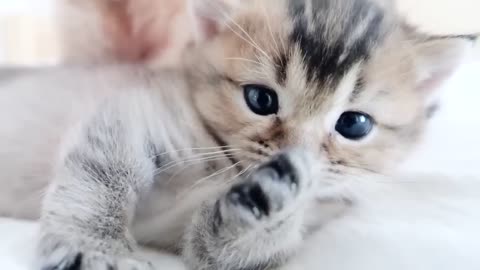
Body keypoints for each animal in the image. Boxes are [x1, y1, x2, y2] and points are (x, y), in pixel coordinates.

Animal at [0, 0, 474, 270]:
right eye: (260, 99)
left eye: (354, 125)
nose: (293, 154)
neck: (226, 164)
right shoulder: (132, 111)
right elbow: (103, 176)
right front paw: (96, 248)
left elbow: (221, 252)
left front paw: (268, 200)